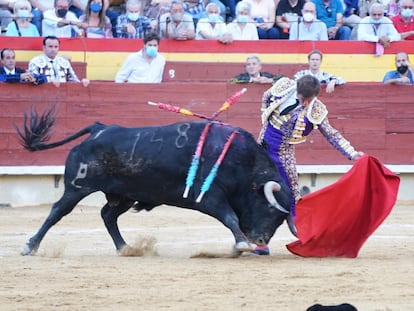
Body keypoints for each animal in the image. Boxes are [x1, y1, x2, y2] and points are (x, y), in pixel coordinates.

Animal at [17, 108, 292, 258]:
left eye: (281, 219)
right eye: (269, 208)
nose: (261, 241)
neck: (242, 162)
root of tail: (99, 128)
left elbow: (233, 220)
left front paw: (238, 247)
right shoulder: (210, 197)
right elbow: (230, 217)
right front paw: (242, 244)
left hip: (124, 195)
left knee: (108, 215)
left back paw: (125, 247)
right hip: (77, 187)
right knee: (57, 211)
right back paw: (30, 246)